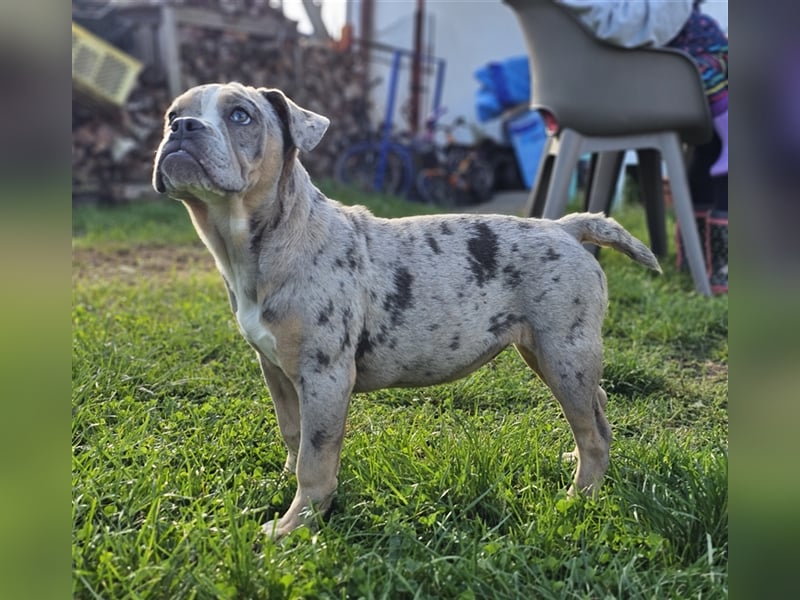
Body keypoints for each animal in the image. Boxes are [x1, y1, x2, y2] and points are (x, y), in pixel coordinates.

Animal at [153, 82, 660, 536]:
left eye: (241, 115)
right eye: (172, 113)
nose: (183, 127)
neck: (255, 243)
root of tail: (566, 228)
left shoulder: (324, 377)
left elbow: (316, 460)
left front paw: (296, 524)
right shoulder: (276, 371)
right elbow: (293, 435)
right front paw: (281, 484)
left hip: (564, 352)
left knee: (593, 430)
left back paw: (578, 498)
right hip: (549, 353)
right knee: (595, 407)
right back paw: (577, 465)